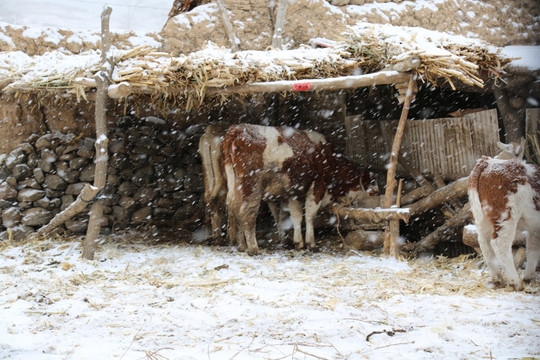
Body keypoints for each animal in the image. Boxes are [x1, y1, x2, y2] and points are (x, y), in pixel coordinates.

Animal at [221, 124, 374, 256]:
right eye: (370, 183)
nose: (377, 191)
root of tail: (239, 128)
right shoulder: (317, 187)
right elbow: (310, 214)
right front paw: (311, 243)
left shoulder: (292, 193)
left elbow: (294, 216)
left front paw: (297, 242)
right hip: (252, 185)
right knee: (247, 213)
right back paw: (253, 248)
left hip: (236, 186)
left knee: (234, 209)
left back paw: (241, 245)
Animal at [466, 149, 536, 290]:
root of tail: (488, 161)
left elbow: (532, 248)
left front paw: (529, 277)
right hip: (507, 216)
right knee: (500, 244)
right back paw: (516, 282)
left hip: (483, 218)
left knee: (484, 243)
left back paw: (497, 279)